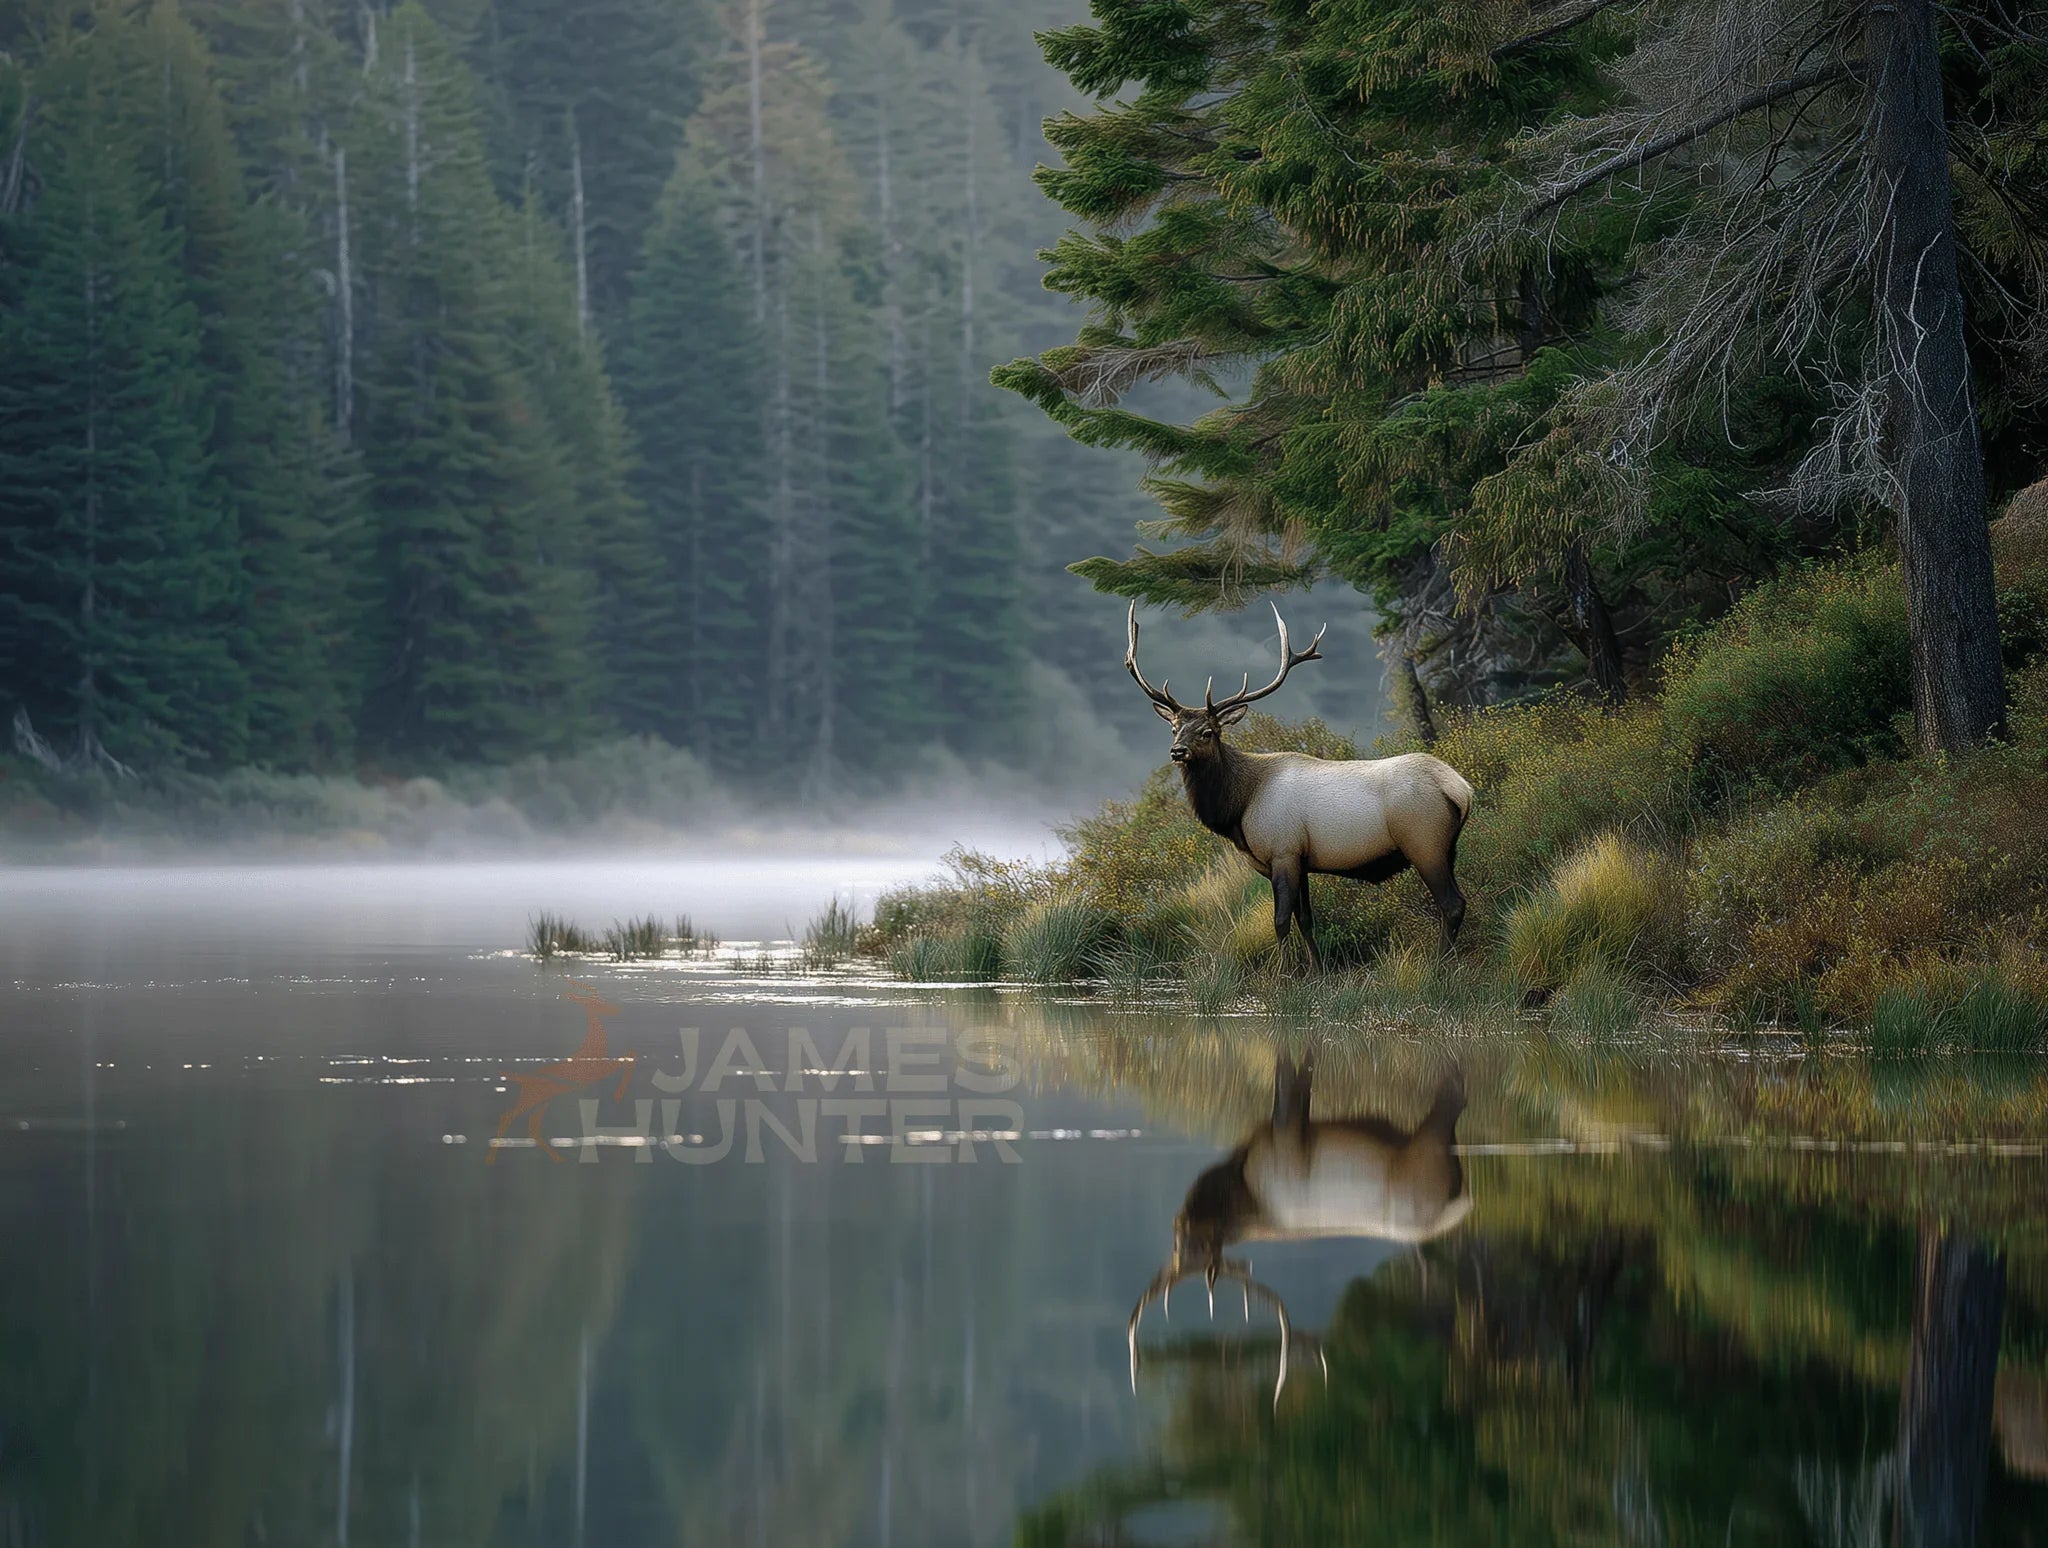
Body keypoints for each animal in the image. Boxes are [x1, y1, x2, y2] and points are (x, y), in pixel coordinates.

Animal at [487, 981, 637, 1163]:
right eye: (595, 1003)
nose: (615, 1010)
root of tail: (522, 1079)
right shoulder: (598, 1070)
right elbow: (629, 1057)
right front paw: (618, 1094)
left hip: (543, 1101)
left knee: (531, 1124)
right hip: (531, 1100)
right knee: (509, 1117)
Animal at [1125, 601, 1475, 968]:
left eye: (1208, 732)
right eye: (1174, 728)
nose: (1177, 751)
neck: (1239, 807)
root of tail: (1460, 788)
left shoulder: (1283, 851)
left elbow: (1280, 921)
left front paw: (1284, 974)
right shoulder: (1301, 860)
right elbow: (1306, 919)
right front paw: (1317, 971)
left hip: (1424, 842)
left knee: (1451, 903)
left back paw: (1440, 964)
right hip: (1448, 847)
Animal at [1127, 1049, 1472, 1406]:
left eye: (1189, 1243)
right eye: (1180, 1245)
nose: (1179, 1223)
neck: (1242, 1190)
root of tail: (1455, 1204)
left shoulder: (1285, 1133)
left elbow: (1285, 1084)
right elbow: (1302, 1075)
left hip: (1428, 1148)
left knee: (1453, 1098)